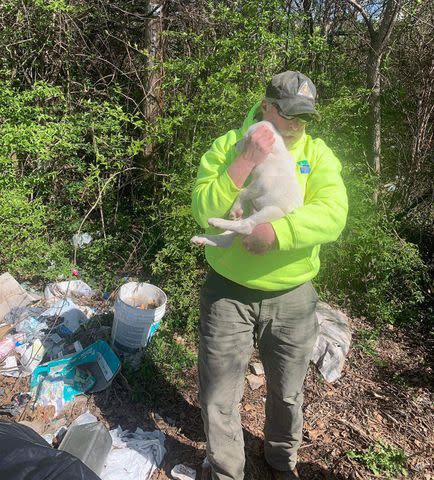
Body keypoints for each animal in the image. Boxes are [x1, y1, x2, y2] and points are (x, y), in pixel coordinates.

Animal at [192, 120, 304, 249]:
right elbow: (244, 192)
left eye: (246, 137)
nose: (235, 144)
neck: (276, 152)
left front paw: (235, 209)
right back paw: (200, 238)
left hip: (272, 211)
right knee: (226, 240)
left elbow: (242, 192)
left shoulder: (261, 184)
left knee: (246, 226)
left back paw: (217, 221)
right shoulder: (256, 184)